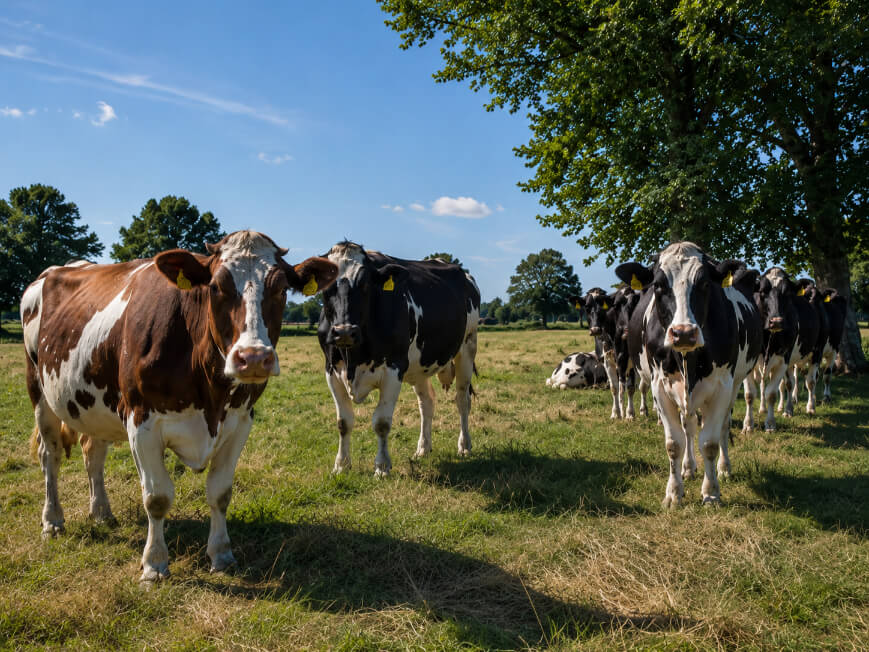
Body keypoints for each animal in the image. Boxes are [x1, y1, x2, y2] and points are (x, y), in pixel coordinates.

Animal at [21, 231, 338, 581]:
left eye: (281, 288)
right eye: (215, 287)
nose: (253, 357)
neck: (210, 393)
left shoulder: (240, 421)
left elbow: (220, 493)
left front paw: (221, 554)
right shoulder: (141, 422)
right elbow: (157, 497)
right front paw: (154, 564)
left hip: (94, 404)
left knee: (93, 454)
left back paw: (102, 513)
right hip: (39, 391)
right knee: (49, 455)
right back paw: (52, 521)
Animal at [318, 241, 480, 477]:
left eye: (365, 284)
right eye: (326, 287)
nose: (345, 332)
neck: (354, 358)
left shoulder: (393, 369)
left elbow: (381, 423)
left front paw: (382, 467)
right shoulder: (331, 370)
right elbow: (343, 422)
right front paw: (341, 465)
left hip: (468, 345)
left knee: (462, 400)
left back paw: (465, 445)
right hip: (419, 365)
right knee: (427, 402)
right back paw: (423, 449)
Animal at [616, 242, 761, 507]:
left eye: (705, 284)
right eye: (658, 285)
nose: (683, 333)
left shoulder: (722, 386)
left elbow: (710, 442)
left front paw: (711, 492)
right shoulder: (660, 386)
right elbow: (675, 443)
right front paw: (674, 493)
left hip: (735, 383)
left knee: (722, 426)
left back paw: (724, 468)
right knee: (689, 426)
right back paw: (688, 468)